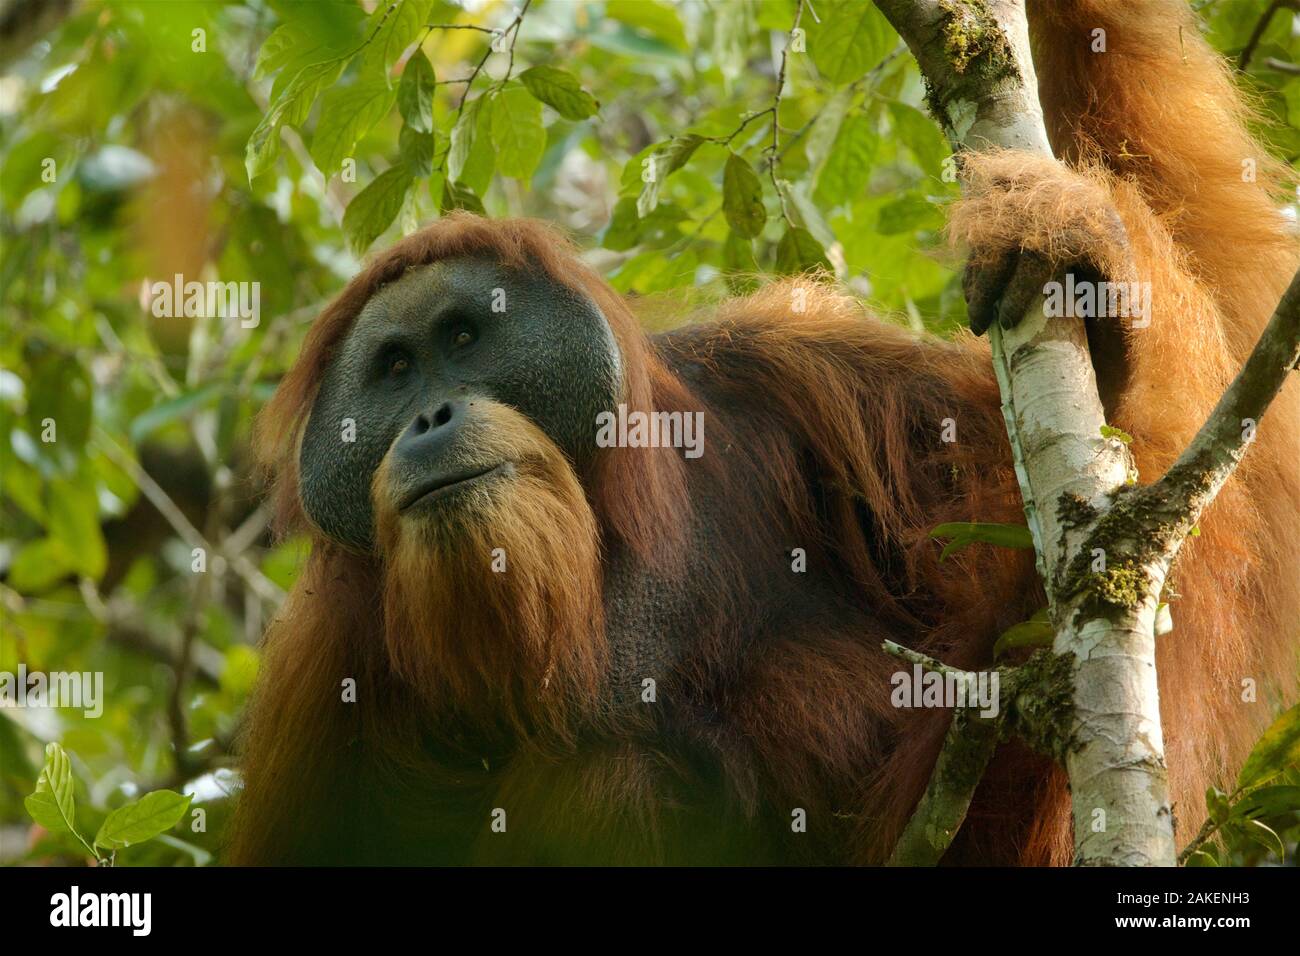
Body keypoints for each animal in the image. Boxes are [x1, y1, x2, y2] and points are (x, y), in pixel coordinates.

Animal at [229, 0, 1299, 865]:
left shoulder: (795, 371)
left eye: (462, 338)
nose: (428, 415)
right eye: (394, 369)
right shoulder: (324, 668)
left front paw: (1100, 299)